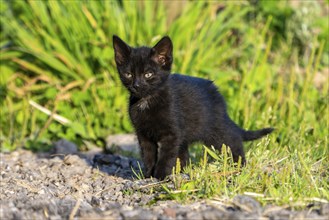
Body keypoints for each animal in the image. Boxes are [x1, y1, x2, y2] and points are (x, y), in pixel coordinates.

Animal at [112, 35, 272, 180]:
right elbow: (148, 156)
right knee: (184, 154)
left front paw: (160, 176)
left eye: (148, 74)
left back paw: (239, 166)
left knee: (233, 140)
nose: (137, 85)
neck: (147, 101)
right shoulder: (143, 134)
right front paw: (147, 175)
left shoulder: (171, 134)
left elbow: (166, 156)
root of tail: (218, 96)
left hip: (216, 130)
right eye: (128, 74)